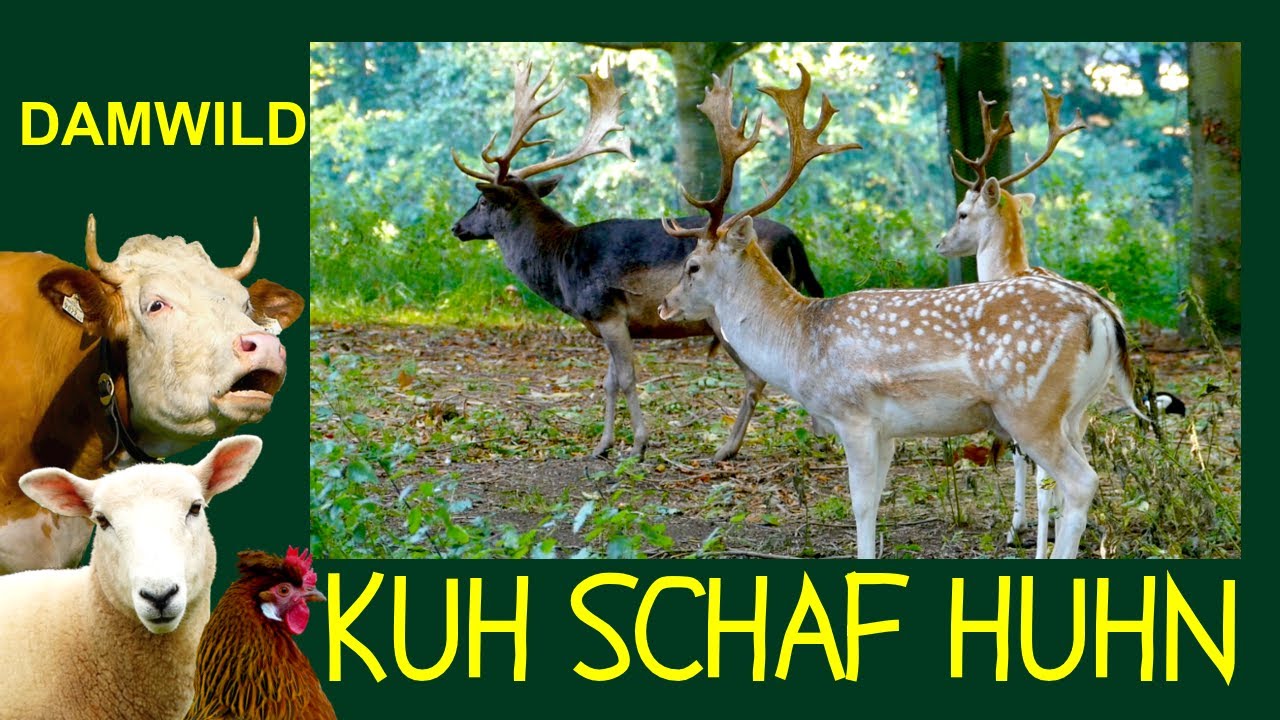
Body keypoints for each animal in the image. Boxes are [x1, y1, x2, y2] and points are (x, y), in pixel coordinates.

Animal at [451, 63, 826, 461]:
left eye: (483, 202)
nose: (456, 227)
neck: (560, 266)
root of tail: (794, 241)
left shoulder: (608, 312)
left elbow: (628, 379)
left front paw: (638, 445)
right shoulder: (607, 321)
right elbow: (609, 381)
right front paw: (602, 445)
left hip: (728, 319)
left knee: (757, 375)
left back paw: (728, 448)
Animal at [657, 65, 1144, 559]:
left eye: (692, 265)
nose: (665, 304)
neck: (797, 343)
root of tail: (1104, 315)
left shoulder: (854, 415)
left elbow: (861, 505)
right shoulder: (888, 430)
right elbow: (877, 499)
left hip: (1030, 407)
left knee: (1079, 482)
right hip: (1075, 411)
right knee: (1064, 487)